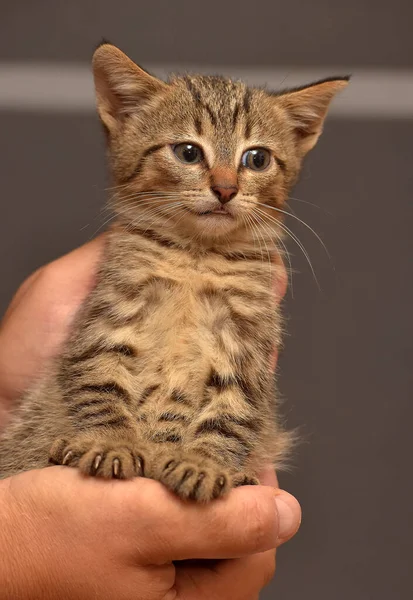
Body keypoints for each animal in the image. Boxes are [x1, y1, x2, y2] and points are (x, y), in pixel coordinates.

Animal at [0, 43, 348, 502]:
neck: (195, 259)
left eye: (256, 158)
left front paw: (203, 462)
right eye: (188, 152)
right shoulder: (105, 319)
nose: (225, 189)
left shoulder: (249, 346)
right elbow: (100, 381)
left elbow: (231, 410)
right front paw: (111, 443)